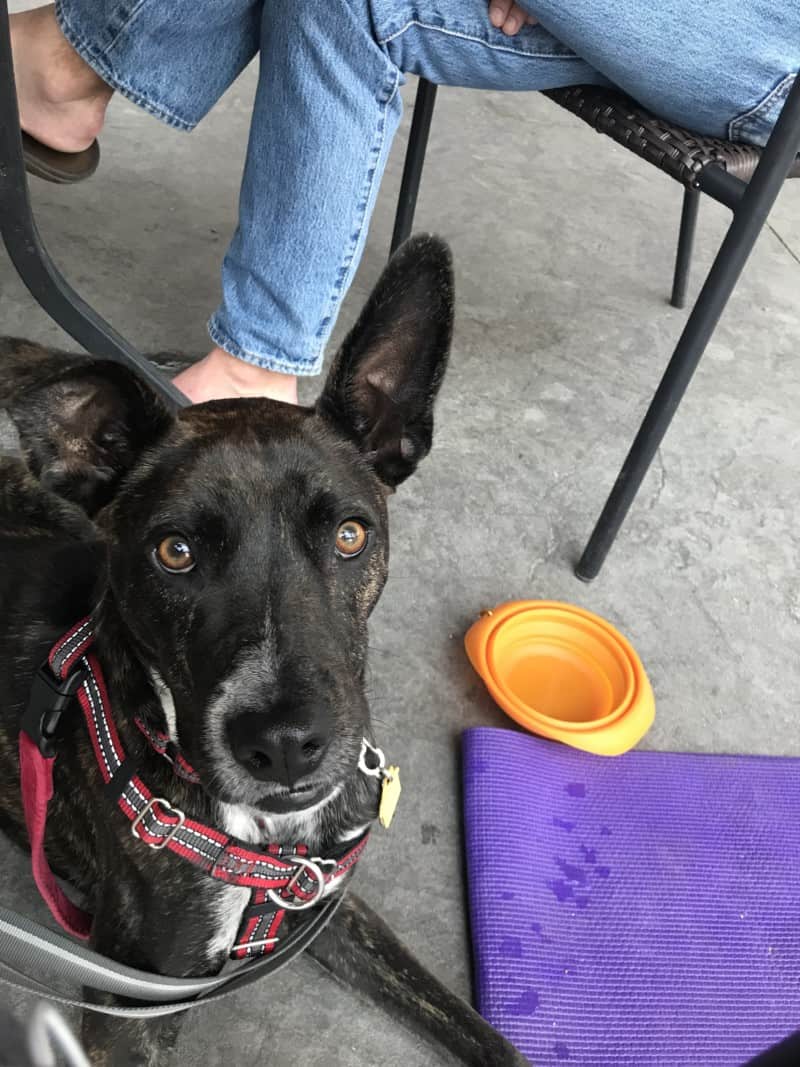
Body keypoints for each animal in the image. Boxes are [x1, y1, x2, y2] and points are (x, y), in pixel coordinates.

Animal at [0, 240, 529, 1067]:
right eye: (174, 551)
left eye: (350, 534)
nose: (284, 744)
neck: (265, 839)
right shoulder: (131, 1012)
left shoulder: (332, 900)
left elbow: (470, 1023)